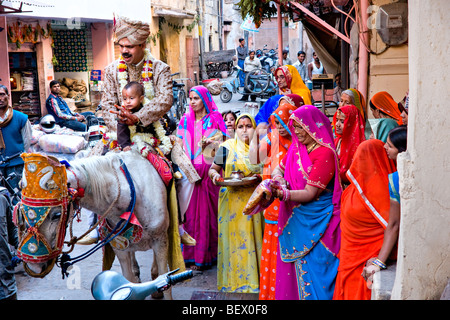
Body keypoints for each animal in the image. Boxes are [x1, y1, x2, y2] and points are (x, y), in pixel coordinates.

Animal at [22, 151, 174, 298]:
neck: (131, 196)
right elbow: (128, 279)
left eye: (57, 215)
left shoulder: (160, 239)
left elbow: (166, 281)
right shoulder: (119, 246)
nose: (34, 267)